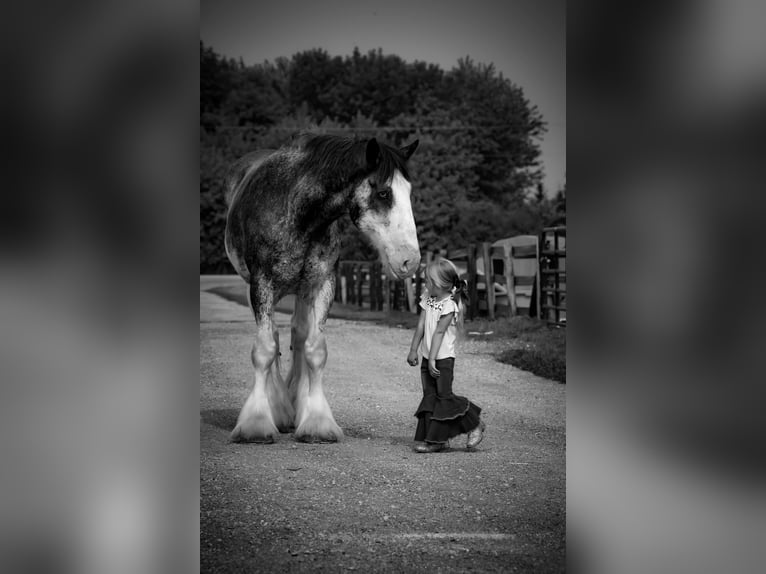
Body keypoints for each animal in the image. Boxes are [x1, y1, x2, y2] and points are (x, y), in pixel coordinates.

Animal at [225, 132, 424, 446]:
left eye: (409, 191)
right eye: (383, 193)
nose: (410, 261)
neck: (299, 214)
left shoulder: (322, 284)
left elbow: (314, 349)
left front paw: (317, 422)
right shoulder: (262, 284)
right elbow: (265, 349)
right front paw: (255, 423)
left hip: (302, 291)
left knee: (298, 334)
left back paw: (293, 405)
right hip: (257, 288)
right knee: (275, 337)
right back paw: (278, 408)